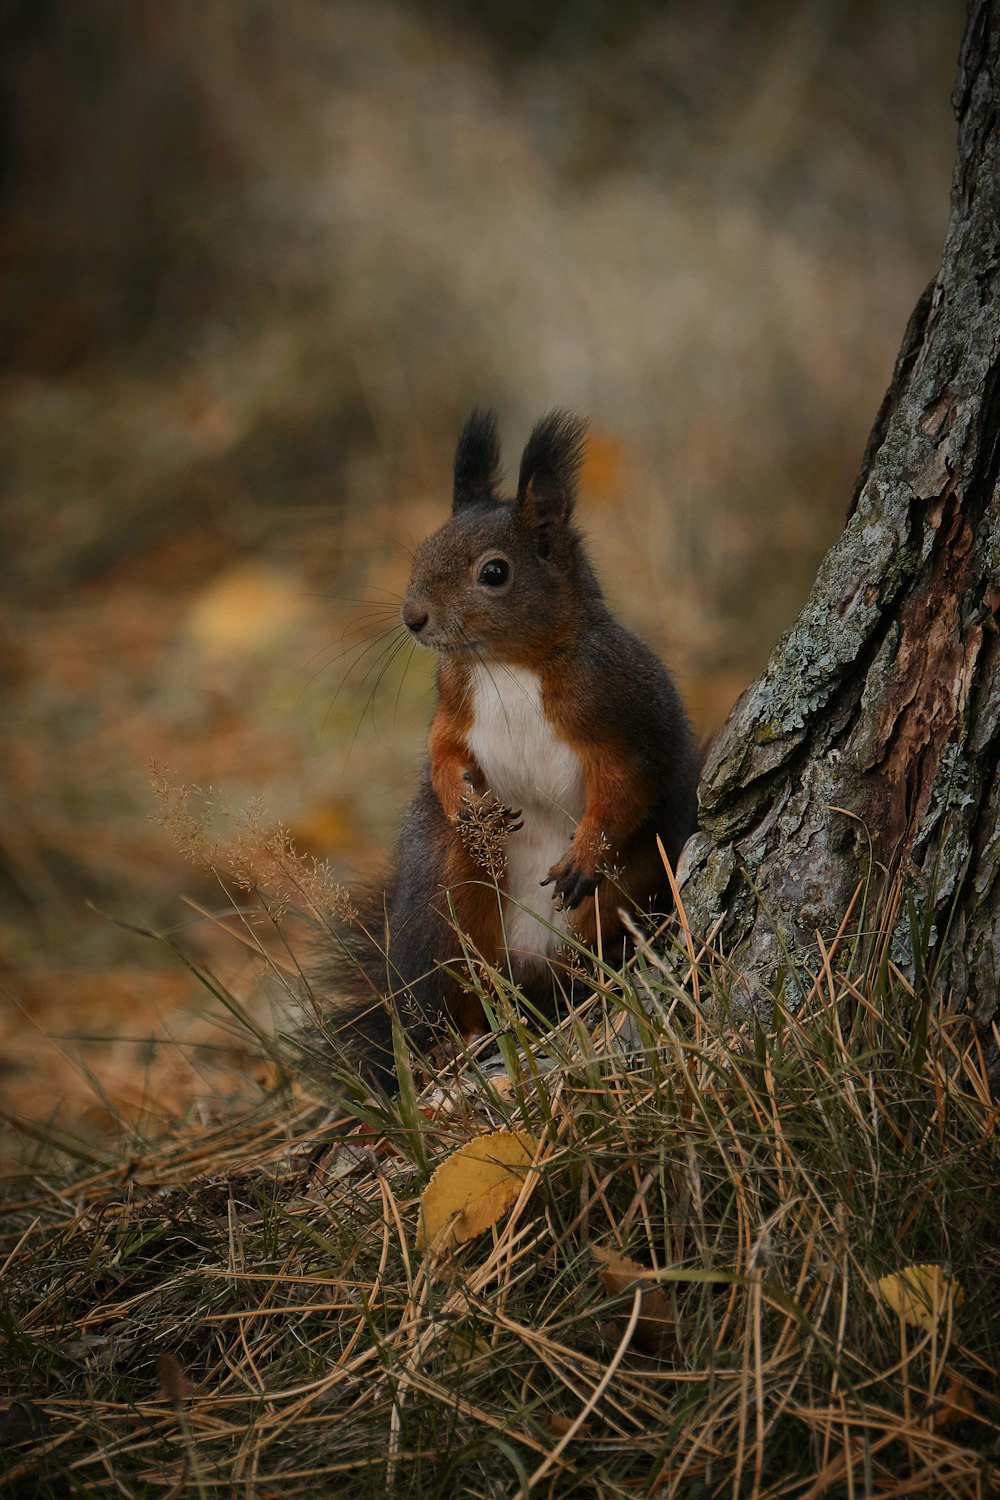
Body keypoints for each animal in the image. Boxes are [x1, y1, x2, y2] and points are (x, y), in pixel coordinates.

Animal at [325, 411, 701, 1092]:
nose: (413, 618)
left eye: (494, 573)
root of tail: (525, 969)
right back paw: (447, 1047)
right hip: (445, 912)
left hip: (616, 902)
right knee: (450, 997)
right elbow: (442, 753)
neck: (507, 664)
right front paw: (462, 802)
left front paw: (585, 850)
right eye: (423, 551)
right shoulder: (452, 710)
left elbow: (625, 787)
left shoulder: (623, 718)